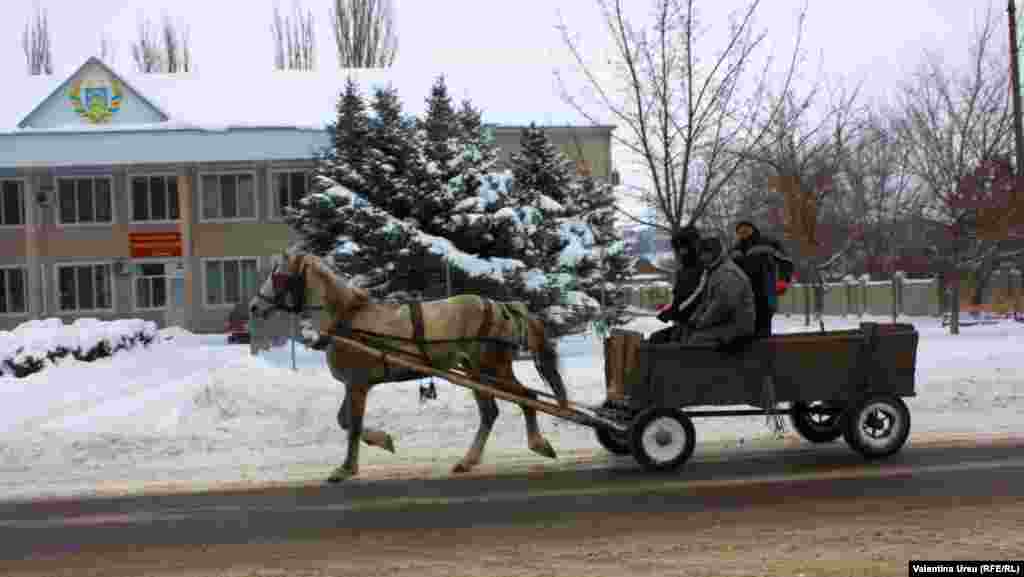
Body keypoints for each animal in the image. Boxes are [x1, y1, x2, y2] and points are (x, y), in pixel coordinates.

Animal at [247, 248, 569, 483]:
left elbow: (352, 426)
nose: (254, 306)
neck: (347, 320)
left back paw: (538, 444)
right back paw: (468, 461)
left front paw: (346, 469)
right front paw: (383, 441)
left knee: (527, 397)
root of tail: (501, 306)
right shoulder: (354, 384)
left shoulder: (357, 384)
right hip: (475, 370)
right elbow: (345, 421)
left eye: (278, 276)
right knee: (490, 412)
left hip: (493, 366)